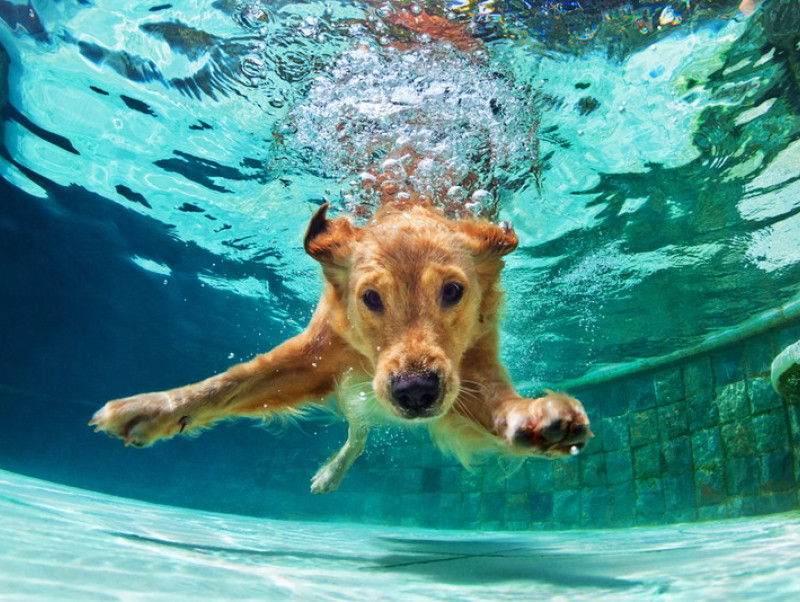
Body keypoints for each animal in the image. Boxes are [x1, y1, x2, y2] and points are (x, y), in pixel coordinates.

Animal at [90, 199, 592, 490]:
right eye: (370, 297)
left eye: (452, 291)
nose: (415, 392)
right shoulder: (314, 355)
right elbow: (229, 382)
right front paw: (154, 408)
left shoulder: (471, 369)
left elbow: (500, 404)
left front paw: (537, 418)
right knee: (358, 430)